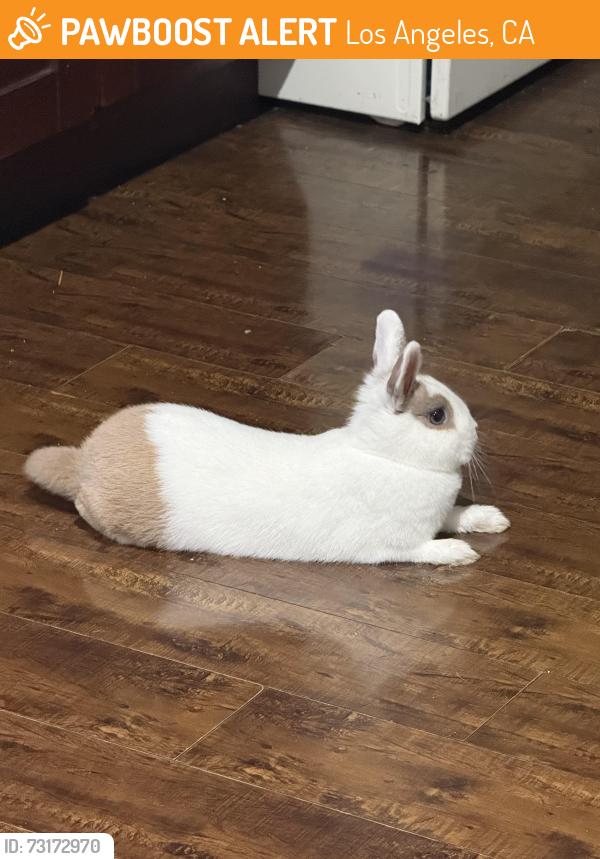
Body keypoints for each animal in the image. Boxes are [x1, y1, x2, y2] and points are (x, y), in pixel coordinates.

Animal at [24, 309, 509, 565]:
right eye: (437, 415)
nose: (476, 434)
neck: (387, 458)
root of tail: (82, 461)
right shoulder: (396, 542)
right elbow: (424, 549)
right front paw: (460, 553)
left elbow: (457, 513)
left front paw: (491, 519)